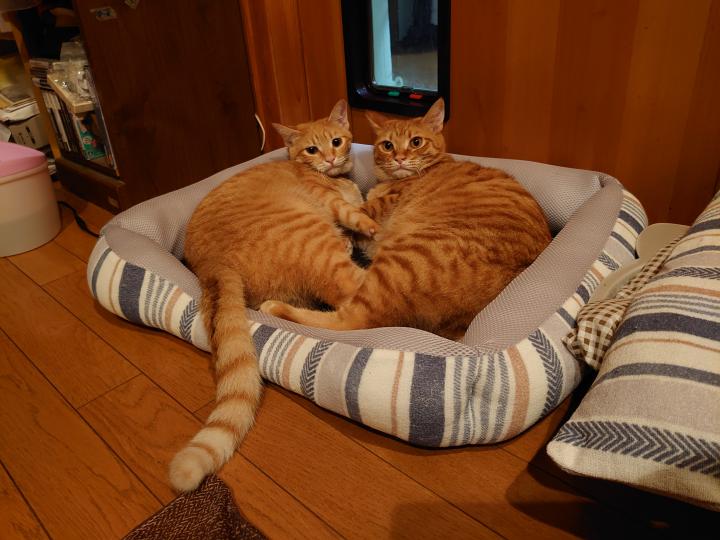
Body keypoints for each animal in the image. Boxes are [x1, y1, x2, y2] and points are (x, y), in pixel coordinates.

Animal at [169, 99, 378, 492]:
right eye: (311, 150)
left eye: (337, 141)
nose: (330, 158)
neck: (332, 178)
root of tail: (210, 266)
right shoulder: (334, 205)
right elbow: (357, 214)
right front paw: (368, 224)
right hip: (313, 237)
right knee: (361, 300)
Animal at [261, 98, 552, 340]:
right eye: (387, 145)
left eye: (416, 142)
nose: (400, 158)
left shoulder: (375, 213)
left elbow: (355, 214)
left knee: (351, 319)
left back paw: (274, 307)